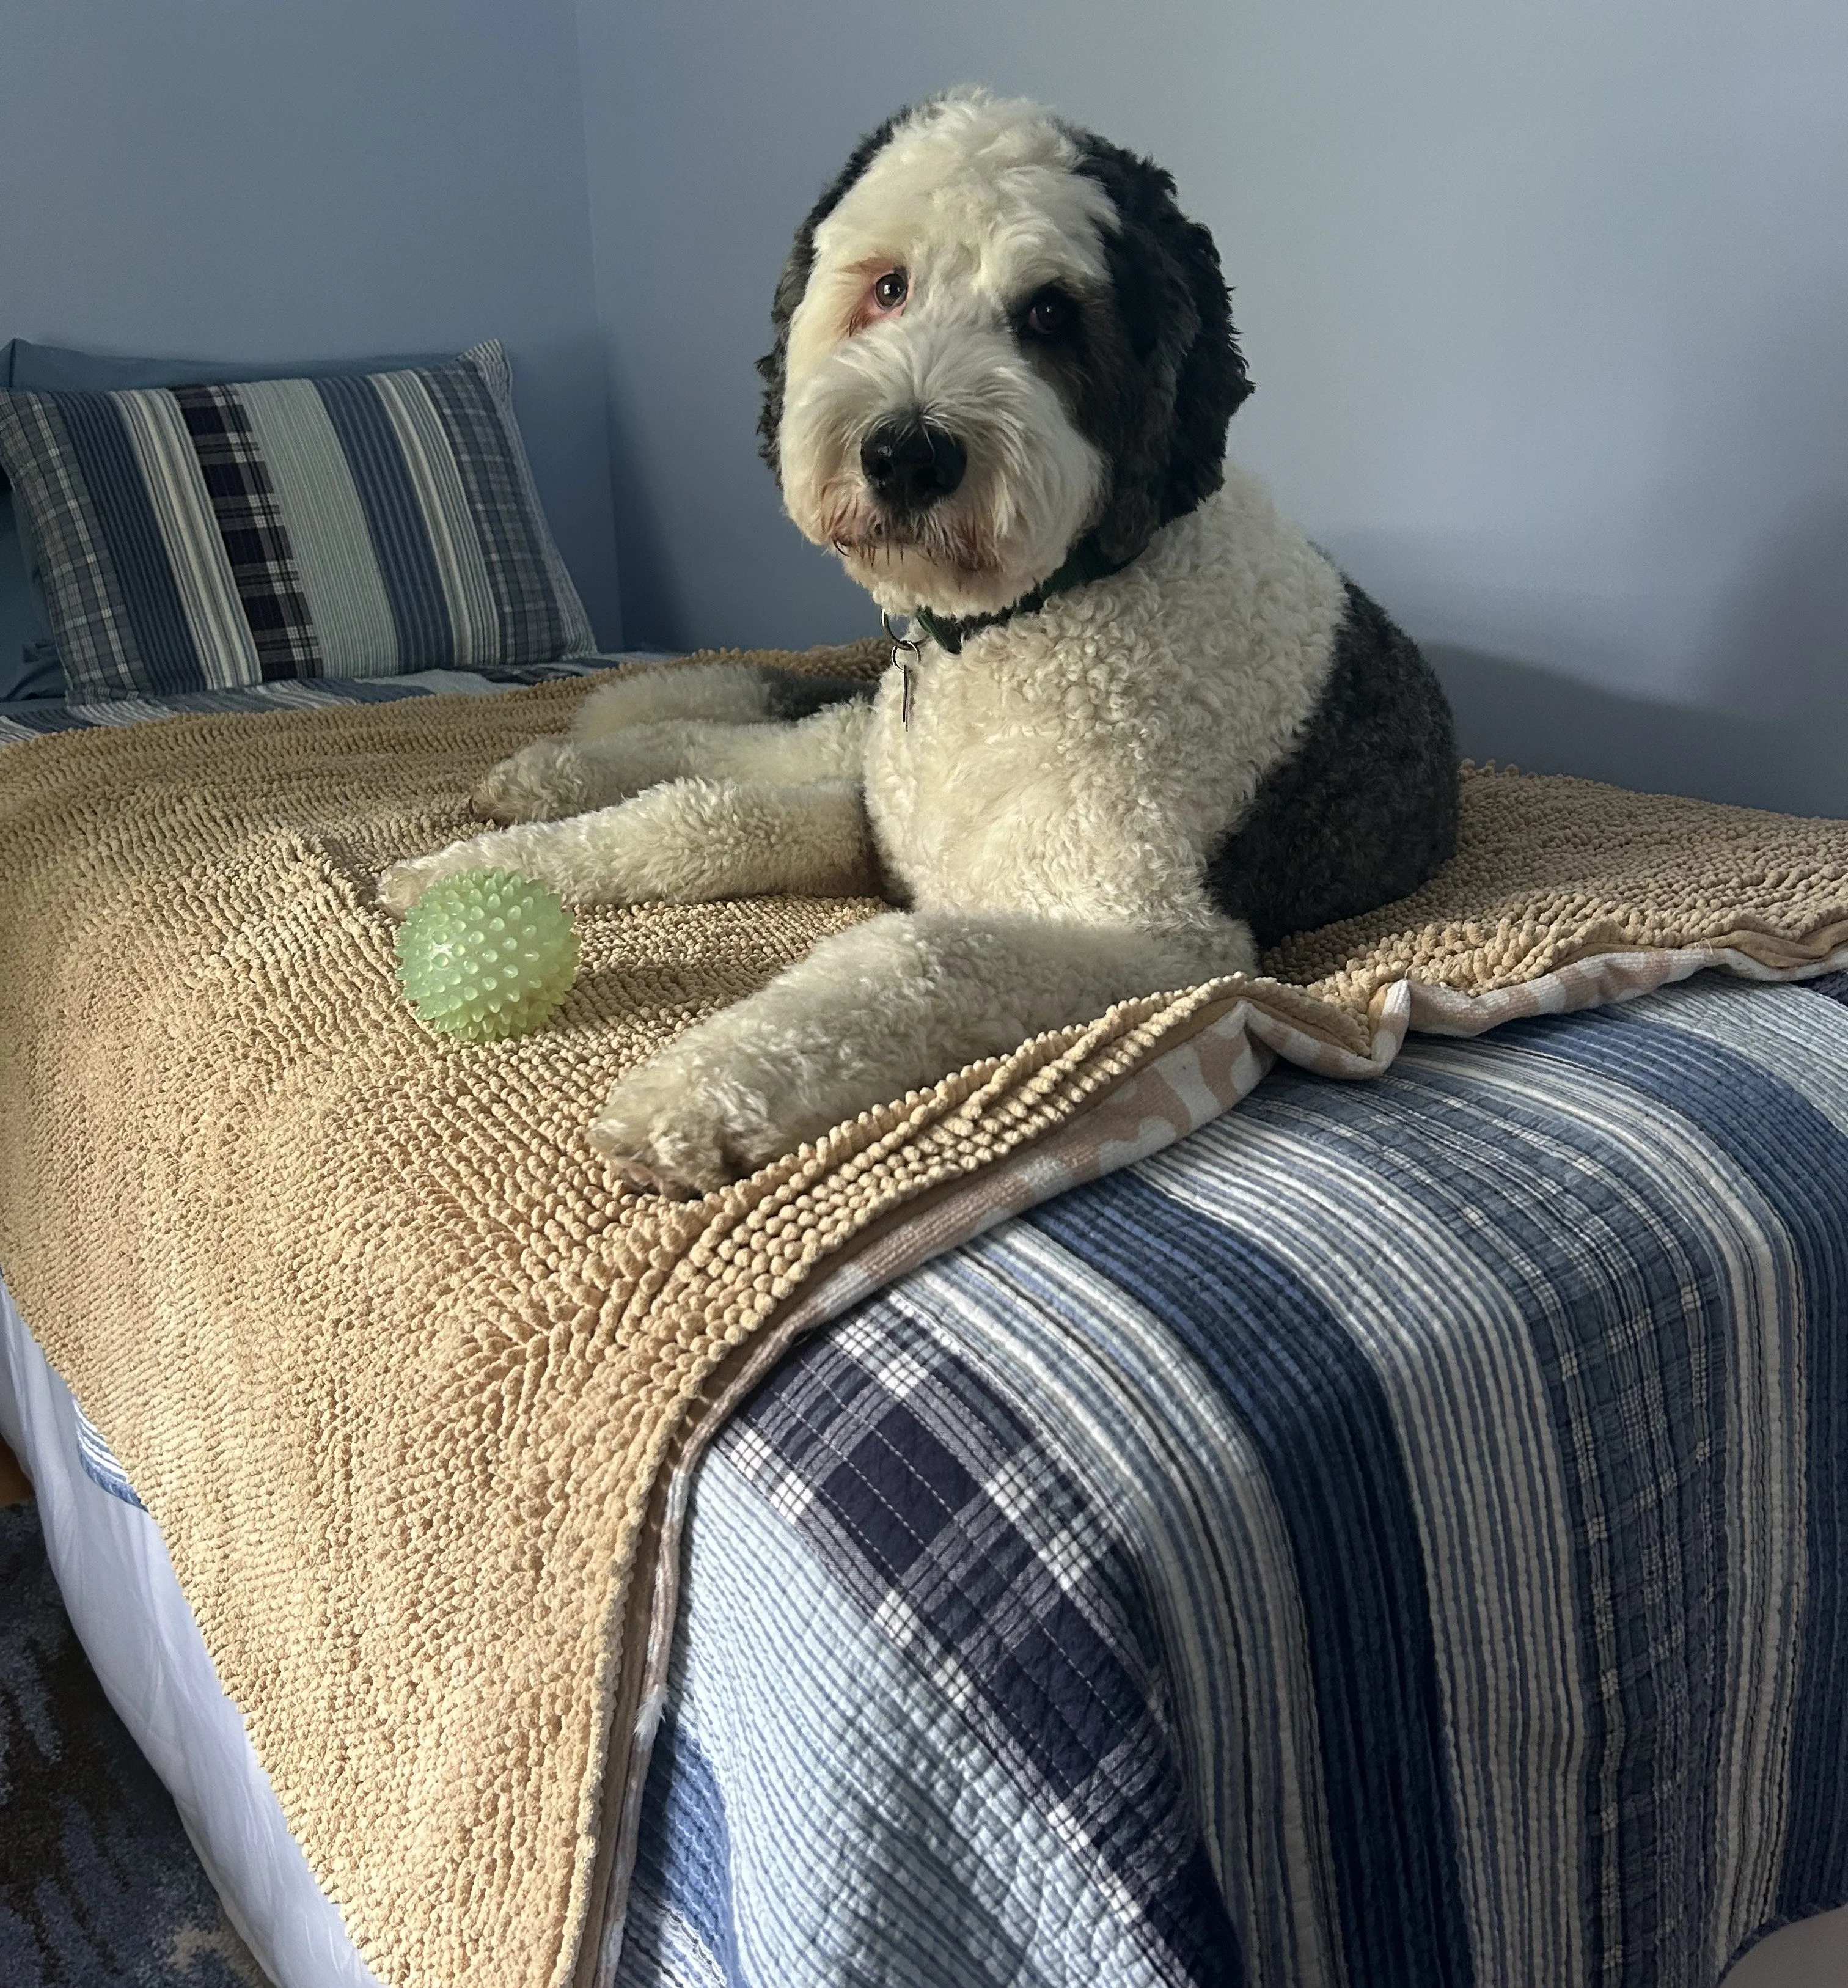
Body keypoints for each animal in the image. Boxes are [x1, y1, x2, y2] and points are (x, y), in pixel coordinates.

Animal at [381, 89, 1454, 1192]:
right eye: (887, 287)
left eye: (1051, 315)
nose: (904, 451)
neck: (1020, 625)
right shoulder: (878, 821)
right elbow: (702, 816)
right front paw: (475, 870)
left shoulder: (1161, 944)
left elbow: (916, 952)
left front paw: (693, 1094)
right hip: (870, 751)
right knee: (727, 745)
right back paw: (543, 775)